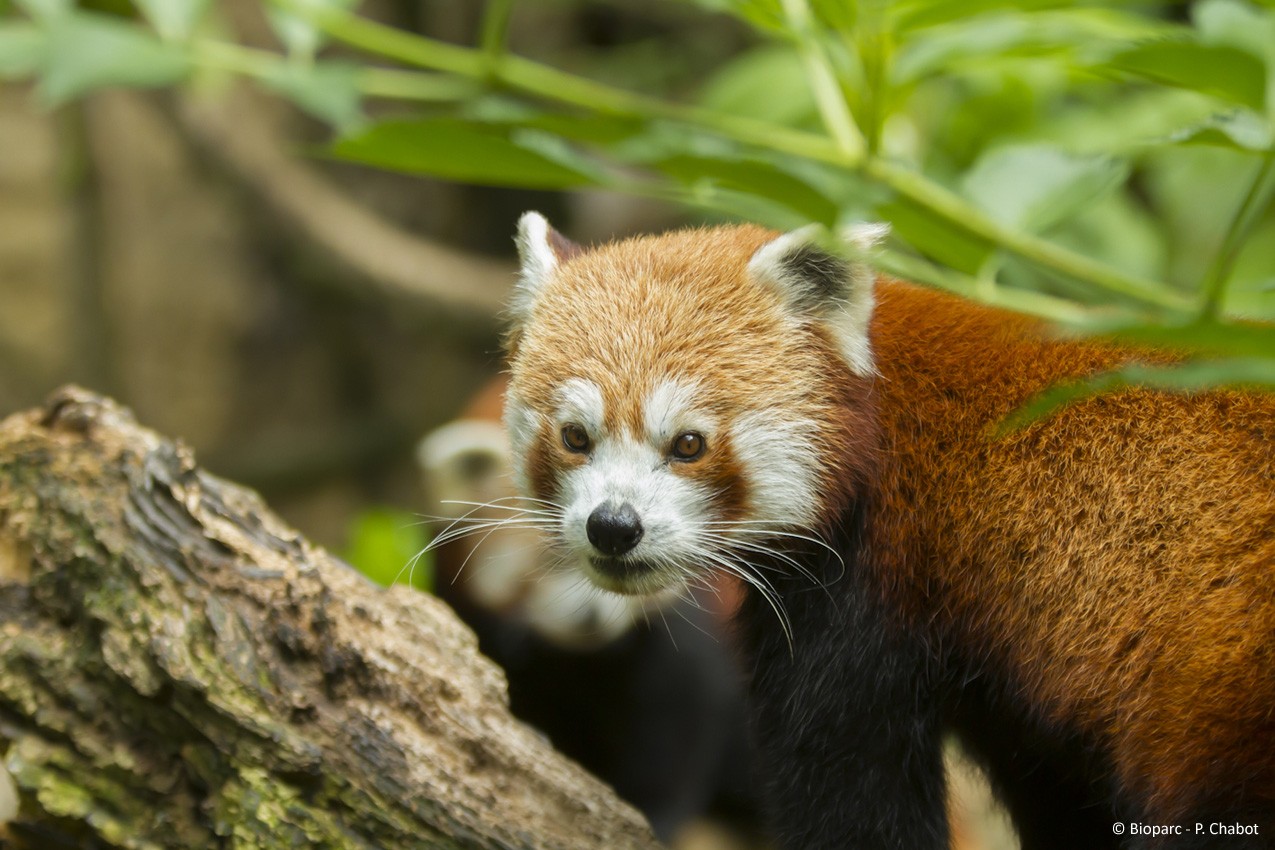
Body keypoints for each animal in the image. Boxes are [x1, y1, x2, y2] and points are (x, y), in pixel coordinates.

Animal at [499, 212, 1275, 850]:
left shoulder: (874, 588)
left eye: (688, 444)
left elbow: (851, 787)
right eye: (575, 437)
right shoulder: (1026, 699)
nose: (612, 526)